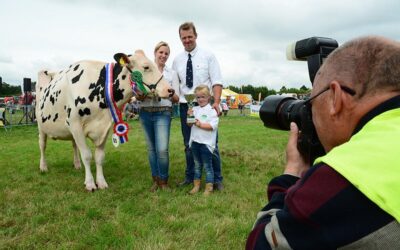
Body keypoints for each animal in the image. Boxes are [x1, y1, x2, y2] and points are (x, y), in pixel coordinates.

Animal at [35, 50, 171, 191]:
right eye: (146, 67)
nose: (170, 90)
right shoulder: (75, 125)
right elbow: (87, 155)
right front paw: (90, 183)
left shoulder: (105, 127)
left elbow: (99, 157)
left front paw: (101, 182)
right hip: (41, 126)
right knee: (42, 145)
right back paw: (43, 167)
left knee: (74, 145)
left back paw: (77, 164)